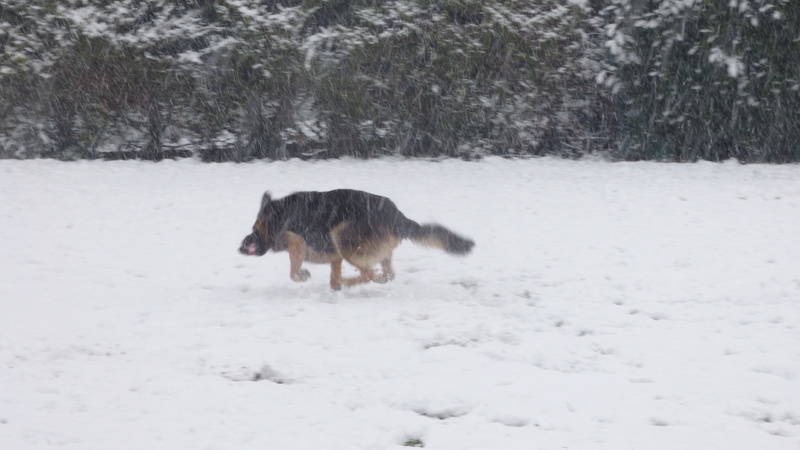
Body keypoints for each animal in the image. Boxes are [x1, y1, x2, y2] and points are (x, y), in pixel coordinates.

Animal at [241, 188, 472, 290]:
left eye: (254, 229)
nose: (241, 247)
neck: (282, 216)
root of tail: (397, 216)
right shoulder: (335, 257)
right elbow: (332, 276)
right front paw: (334, 288)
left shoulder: (297, 243)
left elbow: (293, 272)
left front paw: (304, 276)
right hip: (362, 250)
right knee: (387, 275)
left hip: (342, 237)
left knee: (369, 273)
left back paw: (351, 281)